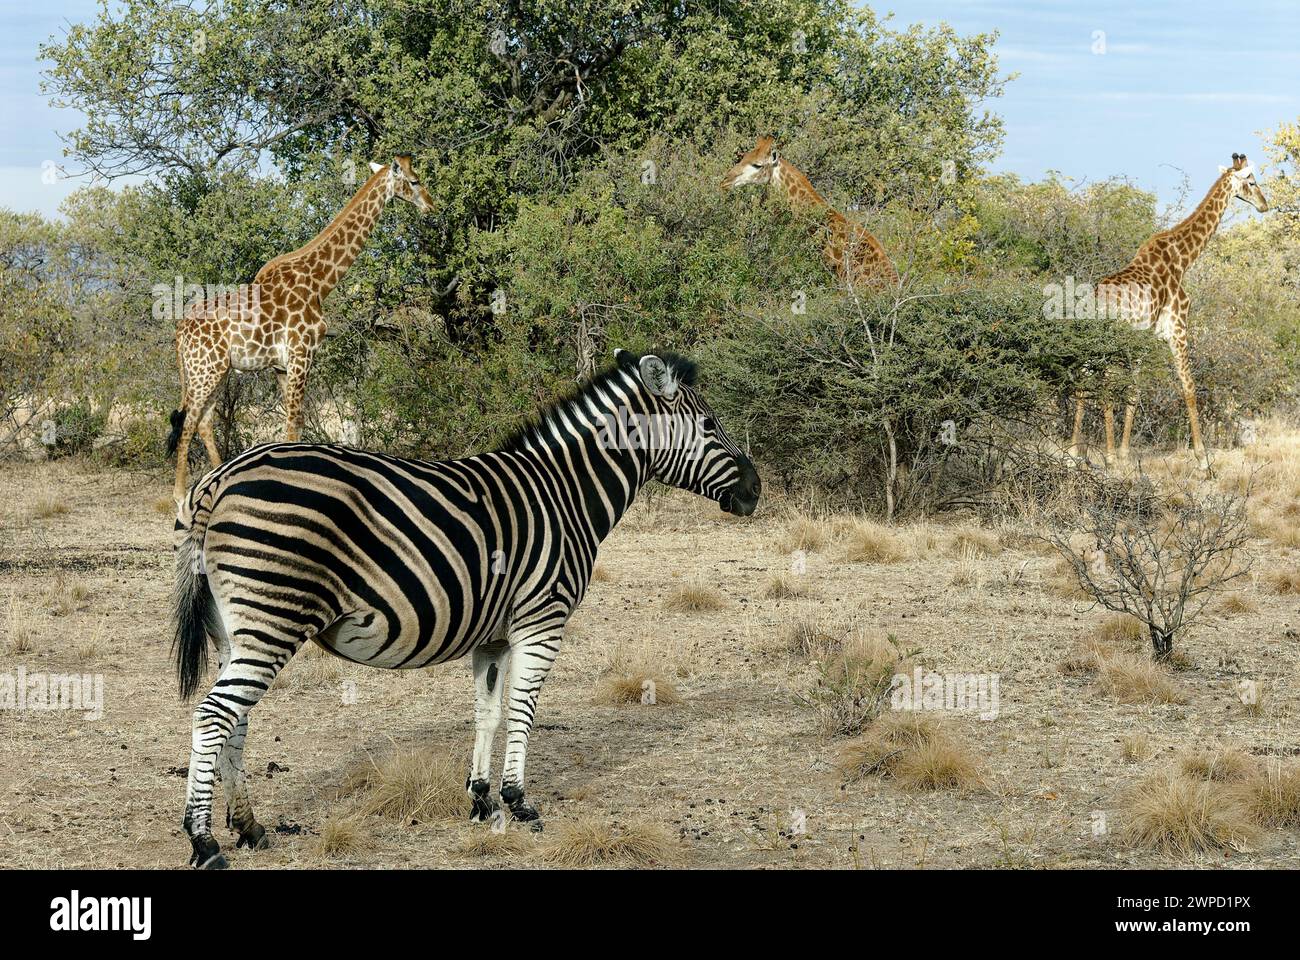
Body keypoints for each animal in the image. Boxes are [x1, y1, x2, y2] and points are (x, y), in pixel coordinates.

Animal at [165, 153, 431, 496]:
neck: (320, 282)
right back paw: (179, 495)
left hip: (215, 371)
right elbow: (294, 423)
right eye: (414, 181)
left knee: (204, 422)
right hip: (205, 371)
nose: (431, 206)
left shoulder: (282, 364)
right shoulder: (302, 354)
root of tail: (179, 331)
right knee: (188, 423)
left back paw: (217, 477)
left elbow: (294, 424)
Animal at [172, 348, 759, 863]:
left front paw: (481, 799)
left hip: (235, 628)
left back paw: (249, 826)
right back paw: (205, 841)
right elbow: (522, 709)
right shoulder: (542, 619)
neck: (566, 495)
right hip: (274, 616)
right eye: (709, 425)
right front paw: (518, 802)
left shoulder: (493, 636)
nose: (756, 490)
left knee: (236, 718)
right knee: (214, 714)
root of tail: (220, 478)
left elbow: (488, 711)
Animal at [1066, 152, 1268, 468]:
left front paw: (1125, 454)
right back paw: (1105, 457)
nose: (1264, 205)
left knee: (1083, 384)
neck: (1183, 258)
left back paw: (1075, 453)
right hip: (1110, 343)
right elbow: (1189, 388)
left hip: (1092, 344)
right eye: (1252, 181)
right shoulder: (1178, 328)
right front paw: (1203, 459)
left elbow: (1135, 390)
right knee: (1104, 386)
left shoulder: (1145, 338)